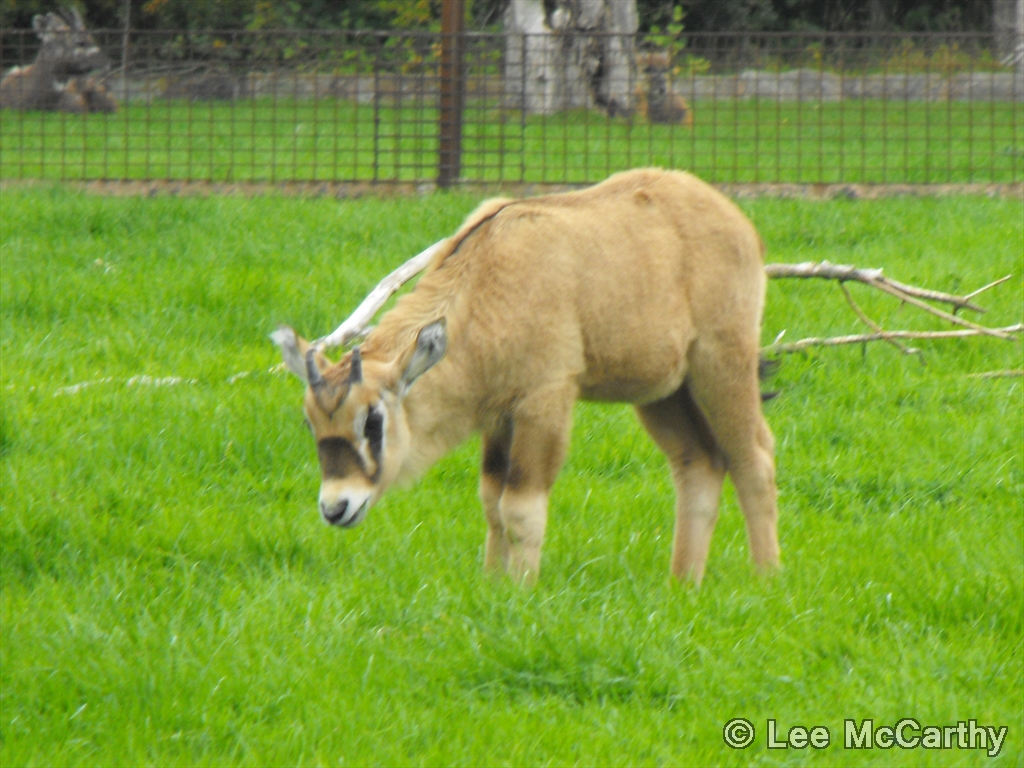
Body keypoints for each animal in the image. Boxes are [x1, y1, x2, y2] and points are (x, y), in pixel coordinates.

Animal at [272, 168, 779, 585]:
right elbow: (491, 502)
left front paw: (522, 590)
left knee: (754, 458)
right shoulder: (499, 417)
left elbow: (519, 507)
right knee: (700, 463)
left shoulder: (544, 398)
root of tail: (744, 228)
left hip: (721, 362)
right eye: (311, 422)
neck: (486, 278)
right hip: (663, 392)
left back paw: (766, 579)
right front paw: (494, 585)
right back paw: (683, 583)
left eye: (373, 420)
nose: (336, 507)